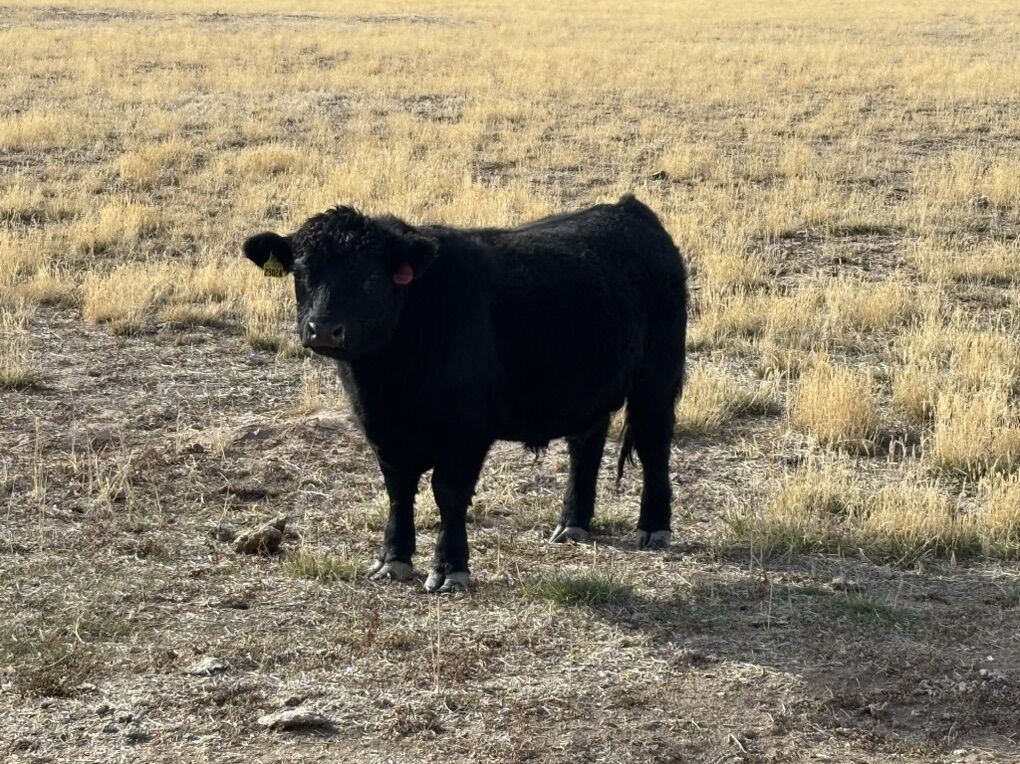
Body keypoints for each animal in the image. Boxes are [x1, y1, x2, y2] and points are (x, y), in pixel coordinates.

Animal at [242, 194, 687, 592]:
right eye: (302, 272)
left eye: (370, 277)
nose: (322, 329)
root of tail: (630, 209)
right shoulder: (382, 430)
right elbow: (398, 490)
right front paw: (393, 560)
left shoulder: (467, 432)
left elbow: (449, 494)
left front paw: (450, 569)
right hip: (588, 390)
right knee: (586, 445)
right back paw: (572, 524)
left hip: (658, 380)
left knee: (654, 447)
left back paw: (653, 528)